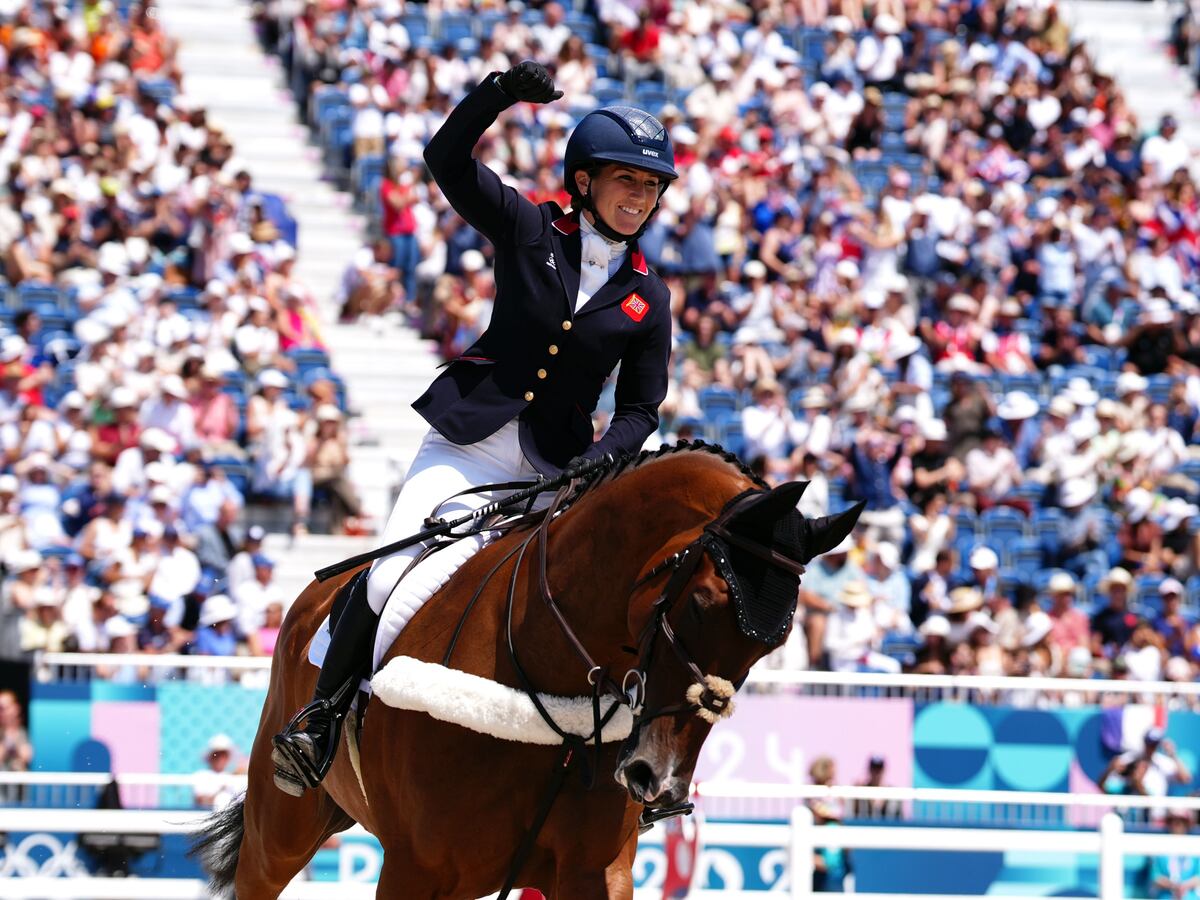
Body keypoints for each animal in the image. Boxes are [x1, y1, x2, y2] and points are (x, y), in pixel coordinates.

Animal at [192, 446, 859, 900]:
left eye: (773, 645)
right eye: (698, 605)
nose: (658, 781)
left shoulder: (595, 873)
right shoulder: (417, 870)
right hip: (281, 828)